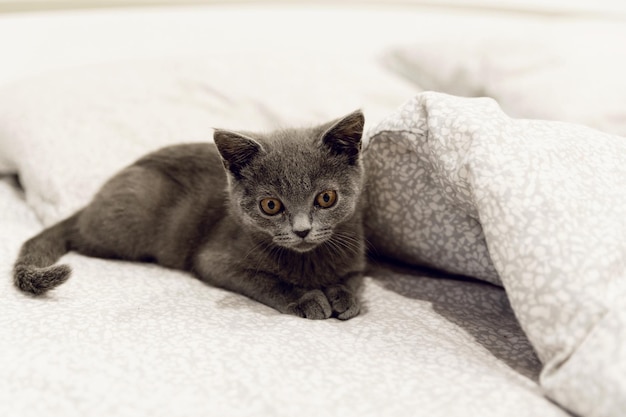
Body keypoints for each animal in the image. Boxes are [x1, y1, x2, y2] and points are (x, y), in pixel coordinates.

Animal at [13, 109, 366, 318]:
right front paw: (308, 299)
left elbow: (352, 278)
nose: (302, 230)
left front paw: (344, 297)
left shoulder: (357, 255)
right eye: (271, 205)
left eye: (326, 198)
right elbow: (268, 281)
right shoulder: (216, 260)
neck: (308, 261)